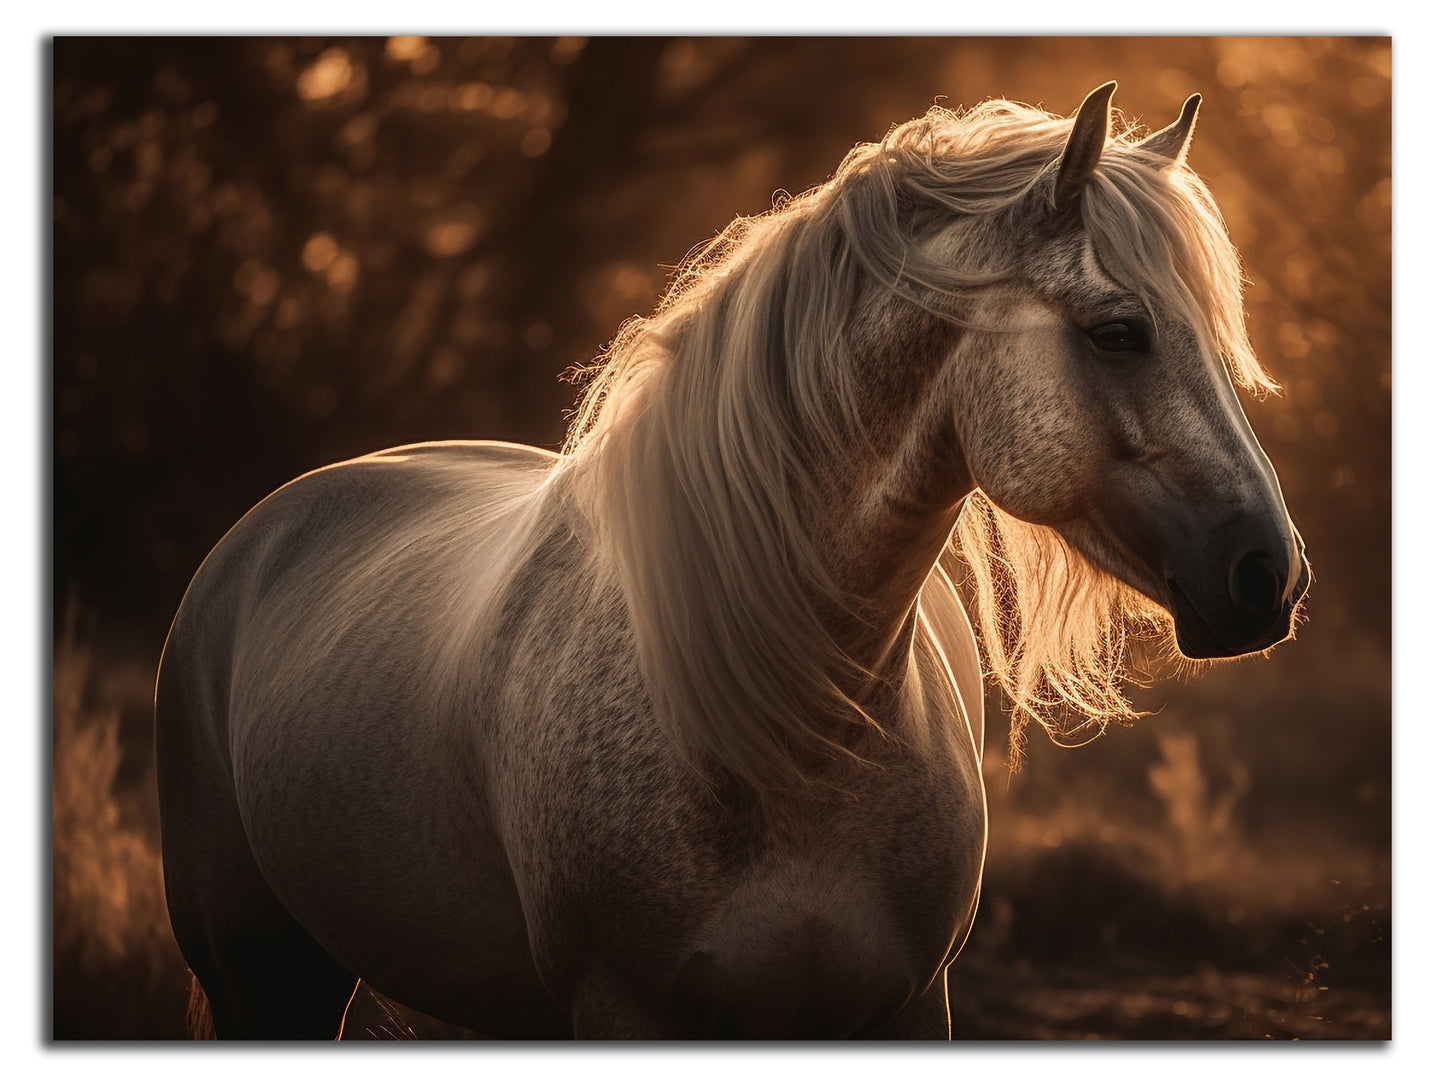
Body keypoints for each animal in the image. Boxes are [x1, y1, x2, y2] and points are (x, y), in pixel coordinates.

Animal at [155, 82, 1309, 1040]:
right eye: (1117, 333)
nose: (1270, 573)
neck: (786, 729)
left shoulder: (904, 1006)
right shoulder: (623, 1008)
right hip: (265, 978)